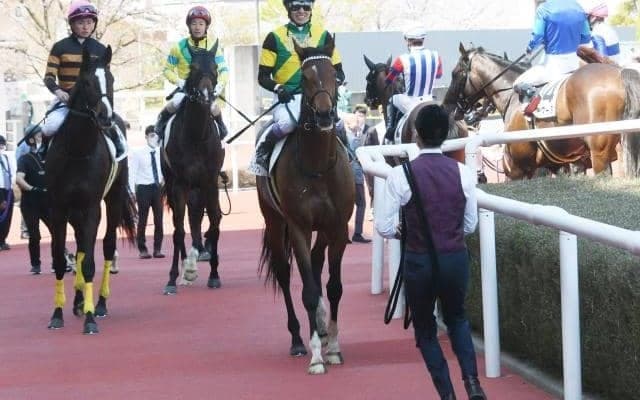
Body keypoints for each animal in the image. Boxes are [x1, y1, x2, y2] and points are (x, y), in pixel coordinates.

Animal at [46, 46, 136, 334]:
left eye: (111, 79)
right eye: (86, 82)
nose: (105, 117)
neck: (77, 150)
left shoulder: (92, 207)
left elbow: (88, 263)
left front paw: (90, 318)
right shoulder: (58, 208)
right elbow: (61, 259)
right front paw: (57, 314)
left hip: (114, 199)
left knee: (106, 246)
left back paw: (100, 304)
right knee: (81, 248)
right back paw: (76, 301)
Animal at [160, 42, 225, 295]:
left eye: (215, 67)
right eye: (193, 67)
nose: (206, 96)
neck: (196, 135)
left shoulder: (210, 182)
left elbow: (214, 224)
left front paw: (214, 275)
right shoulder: (180, 184)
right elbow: (178, 230)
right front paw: (171, 278)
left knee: (196, 216)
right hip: (175, 184)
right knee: (181, 224)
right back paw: (185, 268)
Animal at [257, 35, 355, 375]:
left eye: (333, 74)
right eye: (307, 77)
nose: (325, 115)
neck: (317, 167)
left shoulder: (337, 227)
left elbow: (335, 286)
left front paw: (334, 347)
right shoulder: (298, 227)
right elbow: (309, 291)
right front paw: (315, 356)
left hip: (322, 230)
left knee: (314, 262)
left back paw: (323, 328)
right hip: (274, 222)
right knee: (285, 274)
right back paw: (299, 340)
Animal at [443, 43, 640, 179]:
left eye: (455, 73)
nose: (448, 106)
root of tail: (620, 72)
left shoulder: (517, 169)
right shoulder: (559, 165)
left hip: (600, 152)